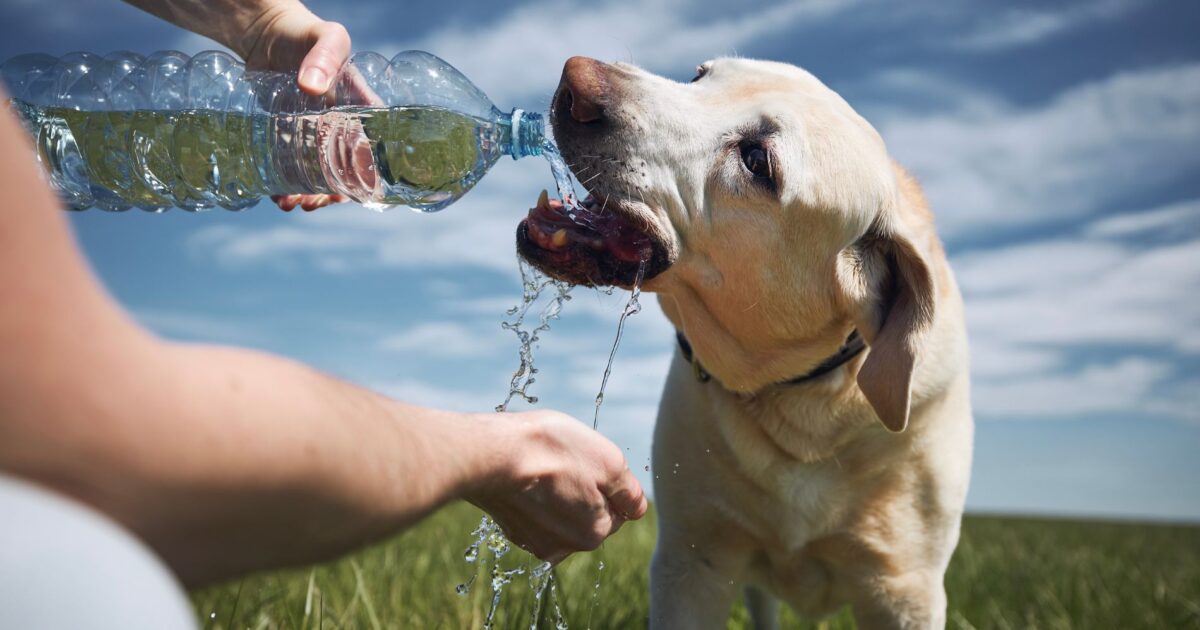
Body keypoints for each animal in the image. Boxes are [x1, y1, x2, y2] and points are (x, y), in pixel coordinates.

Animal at [518, 56, 974, 624]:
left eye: (757, 161)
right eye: (700, 76)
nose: (573, 79)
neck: (806, 409)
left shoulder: (905, 590)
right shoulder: (691, 564)